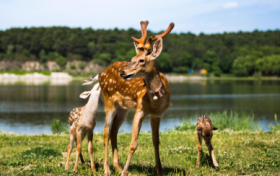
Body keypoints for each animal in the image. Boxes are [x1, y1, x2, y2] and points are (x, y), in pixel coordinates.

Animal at [84, 20, 174, 175]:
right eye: (132, 59)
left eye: (142, 60)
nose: (123, 73)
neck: (155, 102)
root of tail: (100, 73)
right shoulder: (140, 110)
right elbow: (133, 144)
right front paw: (125, 172)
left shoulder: (157, 114)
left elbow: (156, 141)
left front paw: (159, 170)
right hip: (109, 100)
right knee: (106, 131)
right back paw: (107, 169)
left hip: (123, 108)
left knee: (114, 130)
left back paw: (117, 166)